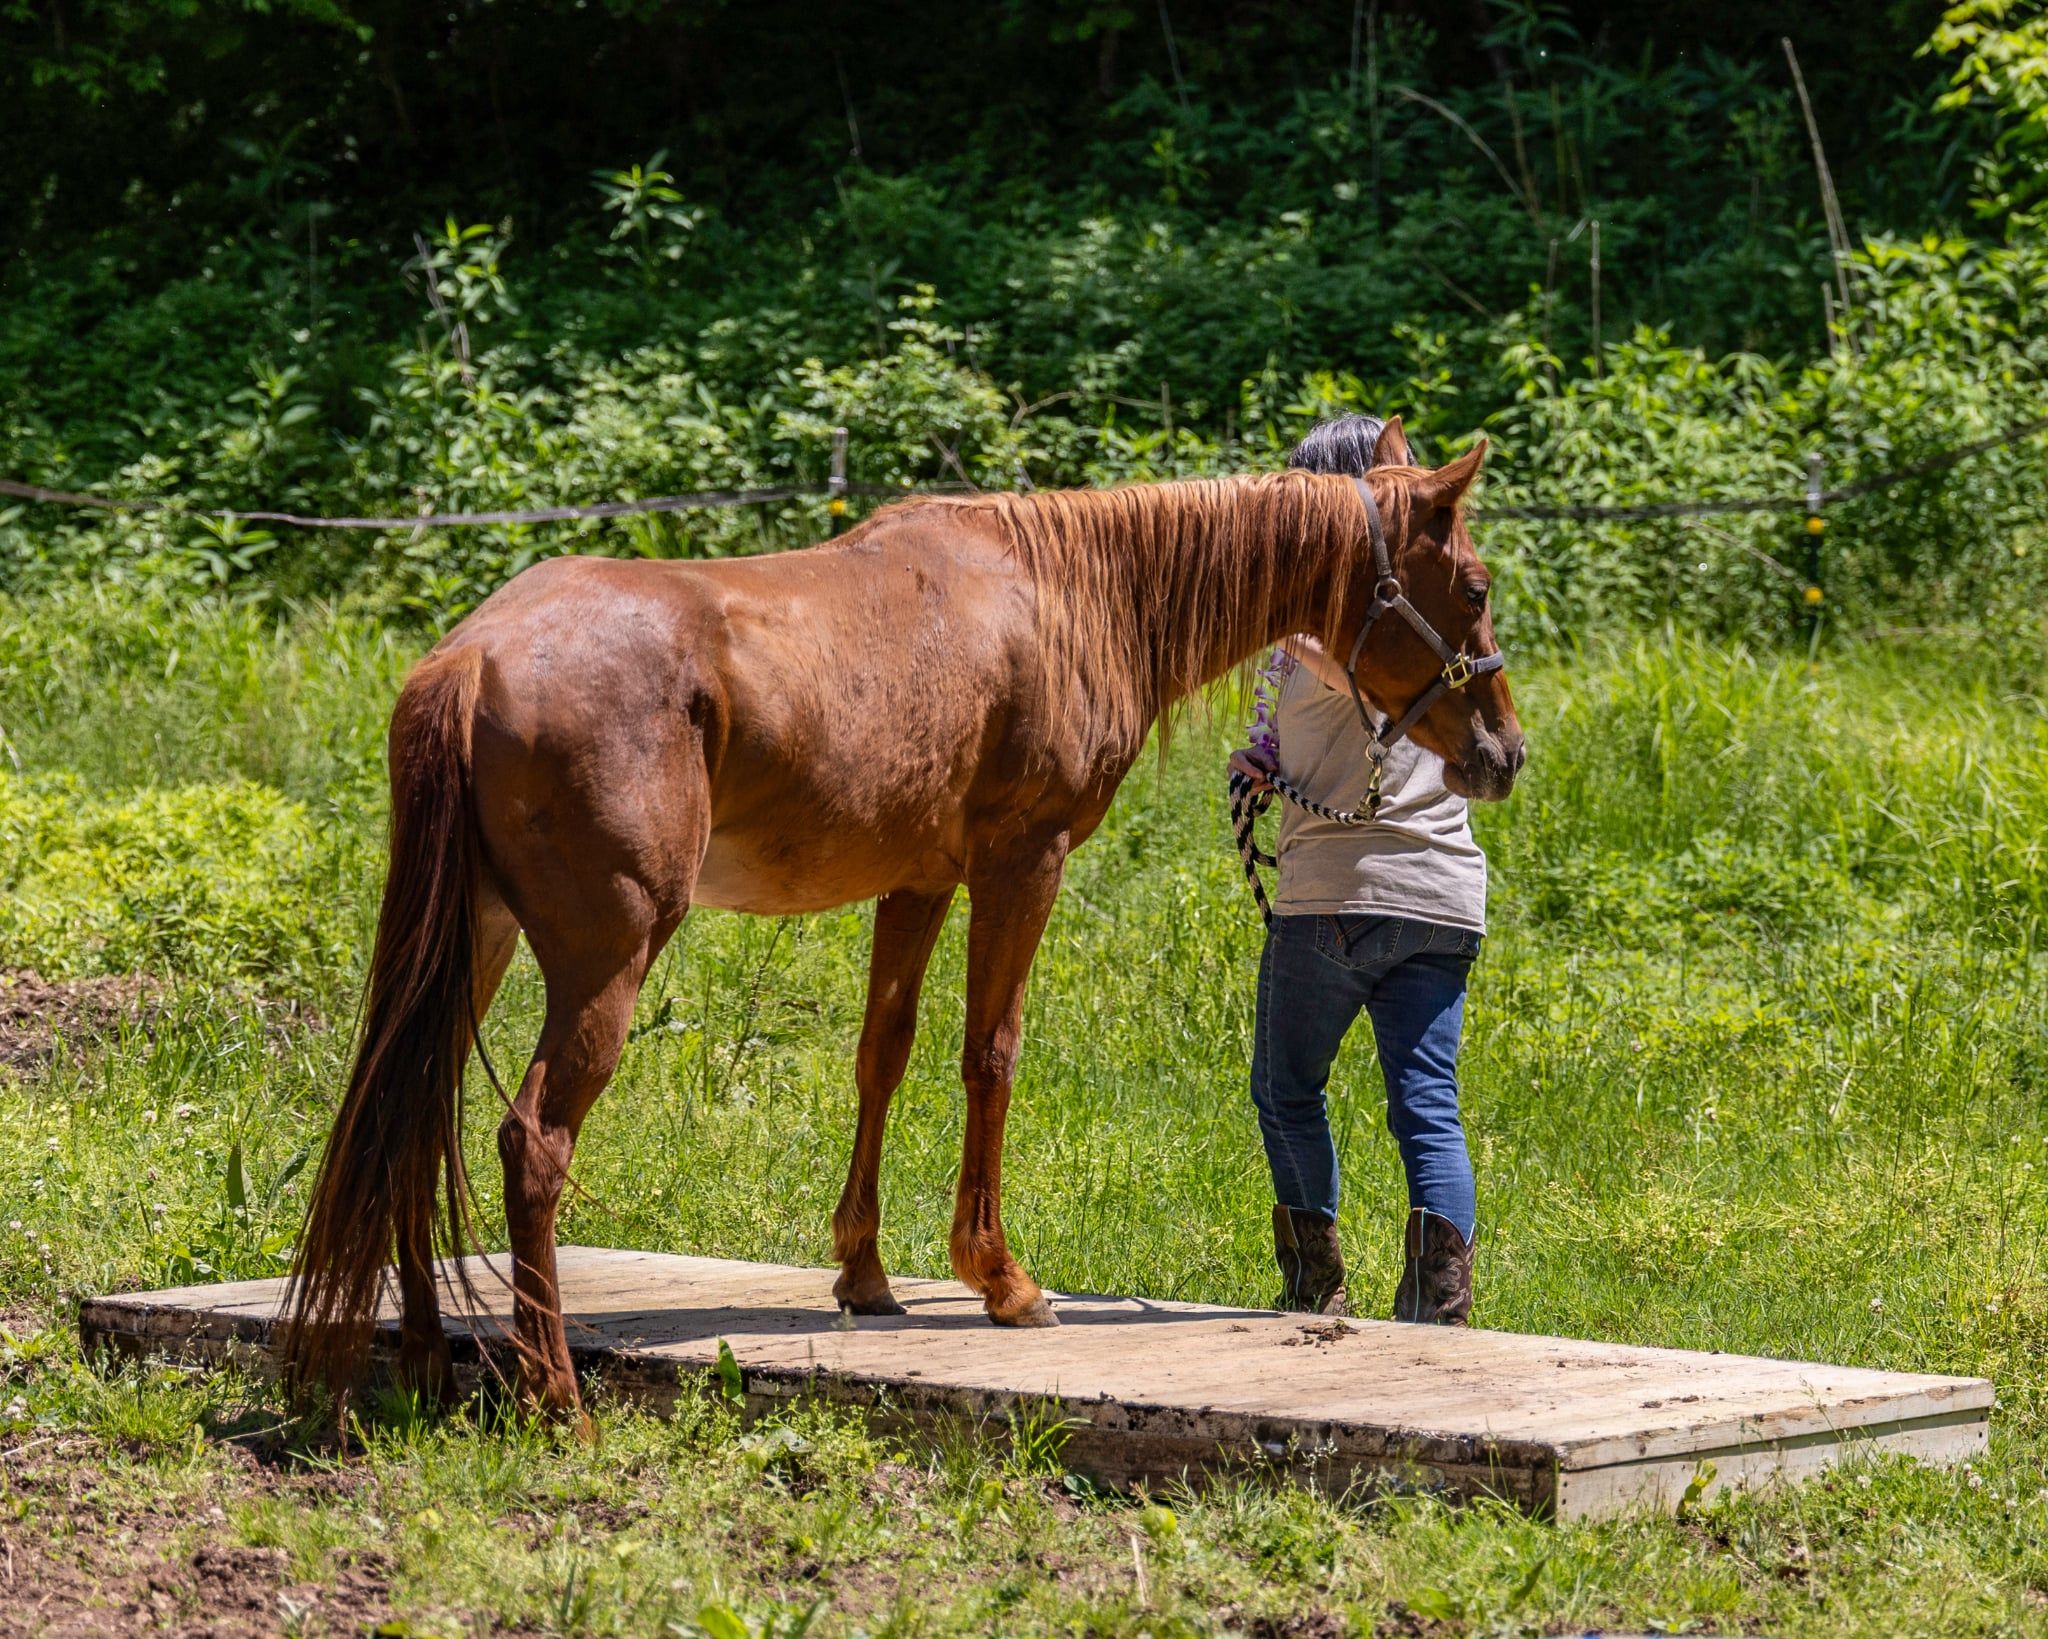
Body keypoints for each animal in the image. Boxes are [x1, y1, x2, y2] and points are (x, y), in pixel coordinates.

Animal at [283, 418, 1524, 1423]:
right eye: (1469, 584)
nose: (1501, 754)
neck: (1069, 591)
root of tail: (471, 657)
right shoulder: (1022, 865)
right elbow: (990, 1053)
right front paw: (1000, 1277)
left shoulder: (916, 881)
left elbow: (883, 1052)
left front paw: (865, 1274)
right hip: (606, 956)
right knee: (529, 1139)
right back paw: (552, 1395)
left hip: (471, 944)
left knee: (409, 1107)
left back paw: (427, 1361)